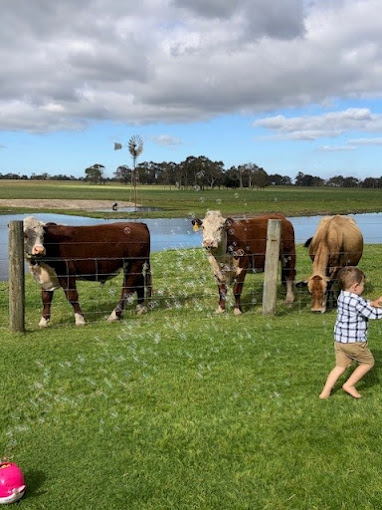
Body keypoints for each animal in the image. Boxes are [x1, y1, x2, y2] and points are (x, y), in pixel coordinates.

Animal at [22, 216, 152, 326]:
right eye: (25, 235)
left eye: (42, 235)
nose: (39, 249)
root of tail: (139, 224)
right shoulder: (47, 277)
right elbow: (46, 298)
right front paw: (43, 322)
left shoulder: (66, 272)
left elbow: (72, 296)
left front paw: (80, 320)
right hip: (133, 266)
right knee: (139, 283)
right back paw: (140, 308)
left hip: (135, 263)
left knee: (127, 289)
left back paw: (114, 316)